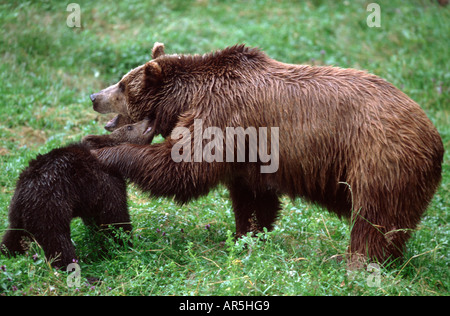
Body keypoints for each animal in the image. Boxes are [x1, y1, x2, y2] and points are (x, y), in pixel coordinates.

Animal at [0, 119, 154, 268]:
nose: (148, 120)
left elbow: (95, 221)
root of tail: (25, 190)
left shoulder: (91, 197)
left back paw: (8, 254)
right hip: (50, 206)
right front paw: (125, 243)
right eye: (130, 126)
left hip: (18, 212)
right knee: (57, 241)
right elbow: (116, 216)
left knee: (14, 236)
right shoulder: (106, 184)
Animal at [88, 42, 442, 264]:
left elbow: (182, 167)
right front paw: (246, 239)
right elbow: (254, 200)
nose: (94, 96)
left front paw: (100, 149)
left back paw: (357, 262)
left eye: (121, 85)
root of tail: (433, 134)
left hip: (379, 157)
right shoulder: (249, 152)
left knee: (374, 219)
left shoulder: (222, 115)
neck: (187, 98)